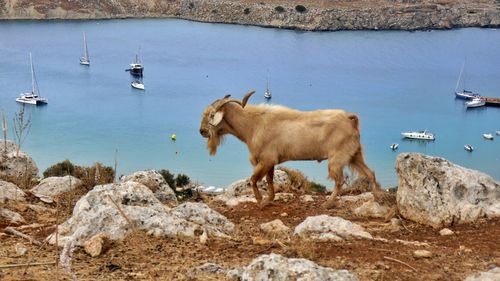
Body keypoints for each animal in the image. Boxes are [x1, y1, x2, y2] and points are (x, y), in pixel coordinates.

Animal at [199, 91, 382, 207]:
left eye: (211, 115)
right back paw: (377, 198)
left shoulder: (266, 159)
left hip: (337, 158)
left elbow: (253, 179)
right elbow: (269, 180)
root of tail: (350, 119)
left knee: (339, 181)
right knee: (370, 173)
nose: (201, 131)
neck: (253, 124)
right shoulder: (270, 162)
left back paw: (329, 204)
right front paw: (269, 200)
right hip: (354, 155)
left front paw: (260, 201)